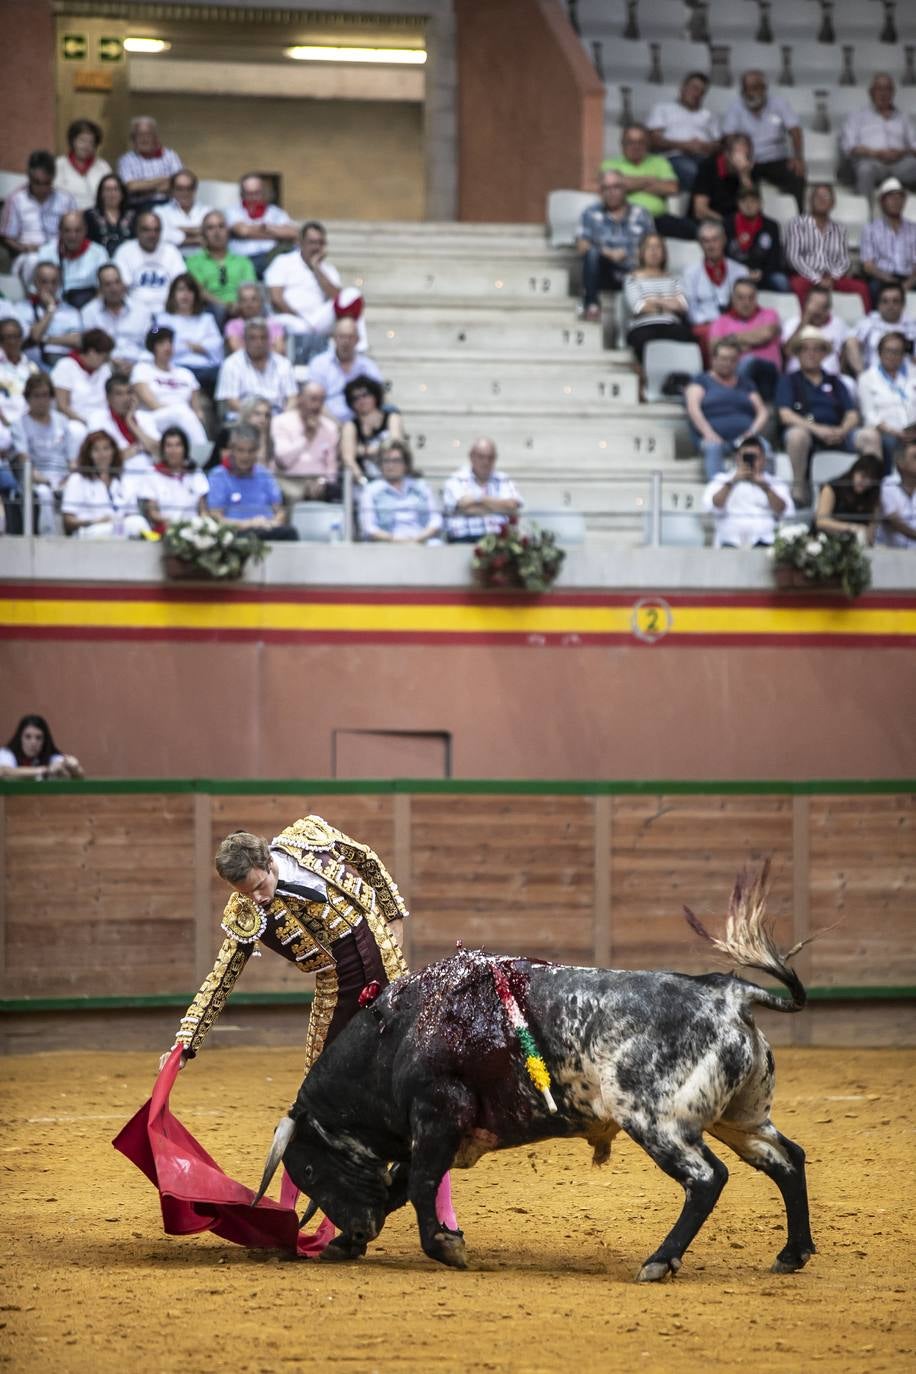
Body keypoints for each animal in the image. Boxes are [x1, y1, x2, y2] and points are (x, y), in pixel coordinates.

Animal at [252, 862, 818, 1280]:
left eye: (306, 1170)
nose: (358, 1227)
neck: (395, 1036)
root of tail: (727, 992)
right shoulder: (442, 1131)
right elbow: (401, 1184)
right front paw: (348, 1245)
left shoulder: (439, 1114)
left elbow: (417, 1184)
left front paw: (444, 1247)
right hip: (741, 1118)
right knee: (787, 1159)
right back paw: (792, 1254)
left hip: (657, 1121)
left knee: (706, 1178)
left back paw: (660, 1261)